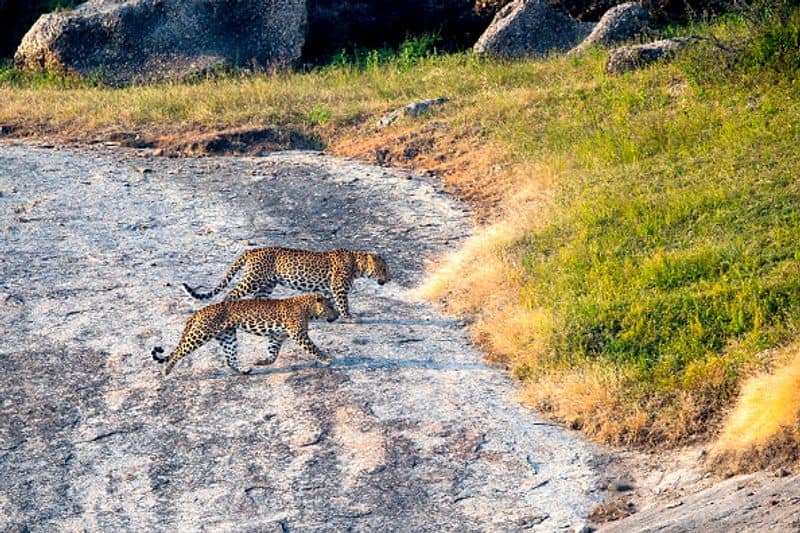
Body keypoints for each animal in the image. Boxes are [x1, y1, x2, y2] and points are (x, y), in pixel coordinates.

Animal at [152, 294, 340, 376]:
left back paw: (244, 370)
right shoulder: (299, 334)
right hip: (201, 333)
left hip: (227, 336)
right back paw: (166, 370)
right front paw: (326, 359)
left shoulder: (277, 337)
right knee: (178, 352)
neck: (308, 308)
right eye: (330, 306)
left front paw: (261, 362)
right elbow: (314, 348)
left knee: (230, 359)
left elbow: (273, 355)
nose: (338, 315)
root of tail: (200, 311)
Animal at [184, 246, 390, 320]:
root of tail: (252, 251)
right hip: (253, 278)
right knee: (231, 293)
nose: (389, 279)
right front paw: (348, 317)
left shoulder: (329, 289)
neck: (357, 264)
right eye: (384, 269)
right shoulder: (338, 288)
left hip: (268, 283)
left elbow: (331, 303)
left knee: (259, 297)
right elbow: (343, 303)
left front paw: (335, 316)